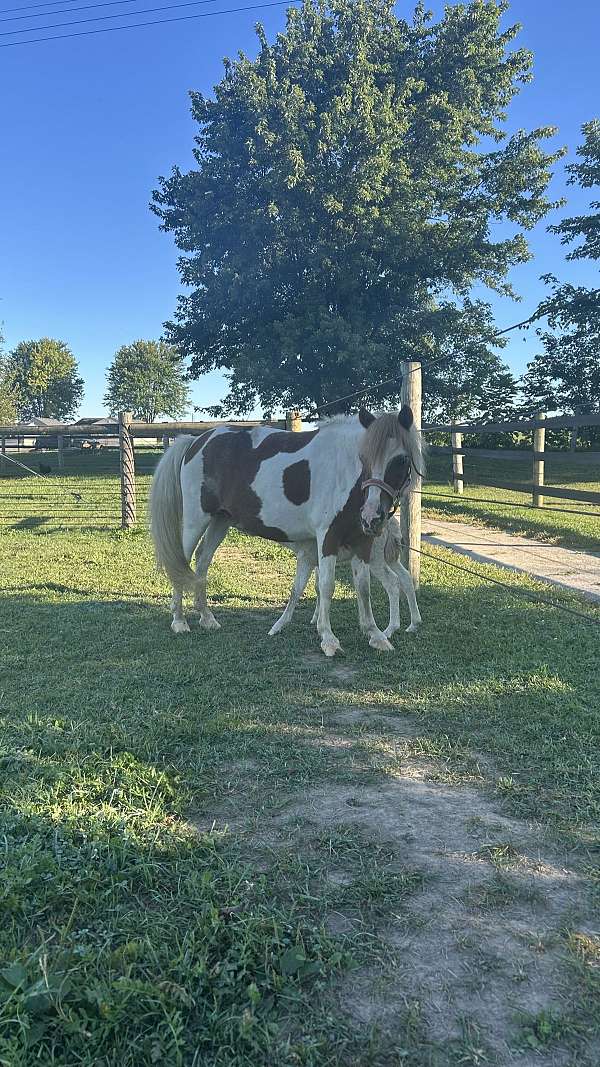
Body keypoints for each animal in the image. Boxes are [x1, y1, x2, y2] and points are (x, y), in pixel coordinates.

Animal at [149, 407, 424, 656]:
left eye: (401, 460)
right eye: (364, 459)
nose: (371, 516)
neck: (344, 472)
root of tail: (196, 442)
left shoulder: (362, 542)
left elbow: (363, 588)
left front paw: (375, 635)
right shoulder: (327, 538)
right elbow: (327, 586)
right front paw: (328, 638)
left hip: (220, 522)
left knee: (202, 561)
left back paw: (207, 618)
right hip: (196, 521)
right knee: (181, 563)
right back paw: (179, 621)